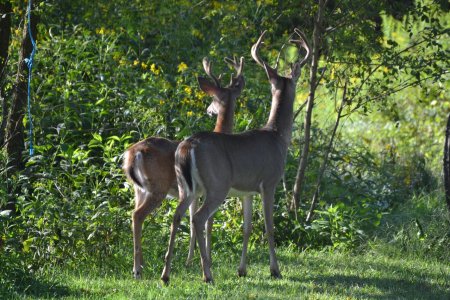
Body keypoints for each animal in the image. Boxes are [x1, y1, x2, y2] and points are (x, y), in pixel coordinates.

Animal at [122, 56, 246, 278]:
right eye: (212, 99)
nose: (209, 110)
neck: (220, 132)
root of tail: (131, 154)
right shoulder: (207, 189)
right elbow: (206, 222)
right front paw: (205, 260)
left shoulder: (193, 193)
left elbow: (190, 219)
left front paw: (190, 261)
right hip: (158, 188)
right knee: (137, 215)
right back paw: (137, 269)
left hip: (139, 189)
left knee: (135, 215)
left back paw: (141, 264)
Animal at [160, 28, 312, 284]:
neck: (277, 136)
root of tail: (187, 146)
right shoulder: (269, 182)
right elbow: (269, 227)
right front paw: (275, 269)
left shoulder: (246, 191)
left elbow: (247, 227)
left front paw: (242, 270)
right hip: (217, 185)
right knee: (198, 218)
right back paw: (207, 275)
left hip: (185, 186)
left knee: (177, 216)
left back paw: (166, 274)